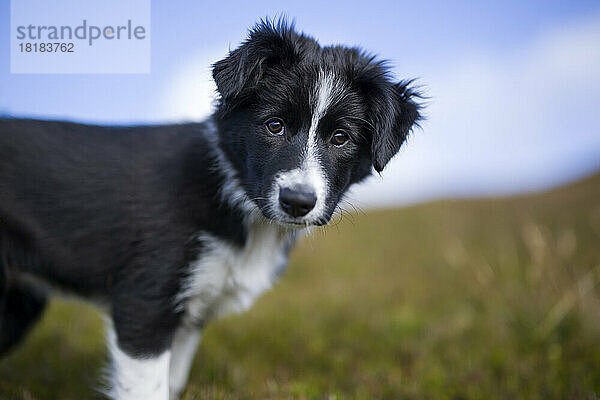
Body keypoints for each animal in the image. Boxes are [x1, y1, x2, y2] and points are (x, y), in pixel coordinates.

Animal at [0, 19, 422, 400]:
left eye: (340, 138)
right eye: (274, 126)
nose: (298, 202)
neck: (238, 201)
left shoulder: (191, 316)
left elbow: (171, 384)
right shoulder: (144, 304)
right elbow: (147, 390)